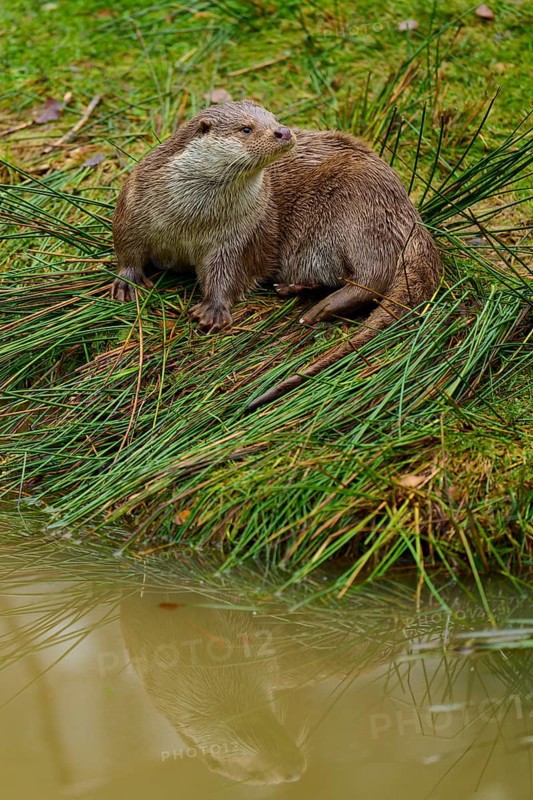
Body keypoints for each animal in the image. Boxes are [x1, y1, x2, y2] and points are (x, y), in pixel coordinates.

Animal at [111, 100, 441, 409]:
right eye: (246, 128)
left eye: (274, 119)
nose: (283, 131)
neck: (191, 221)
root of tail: (411, 216)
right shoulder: (134, 203)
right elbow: (127, 248)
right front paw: (128, 282)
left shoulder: (239, 236)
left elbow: (228, 273)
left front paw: (213, 309)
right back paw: (293, 289)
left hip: (359, 212)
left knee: (372, 276)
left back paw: (319, 309)